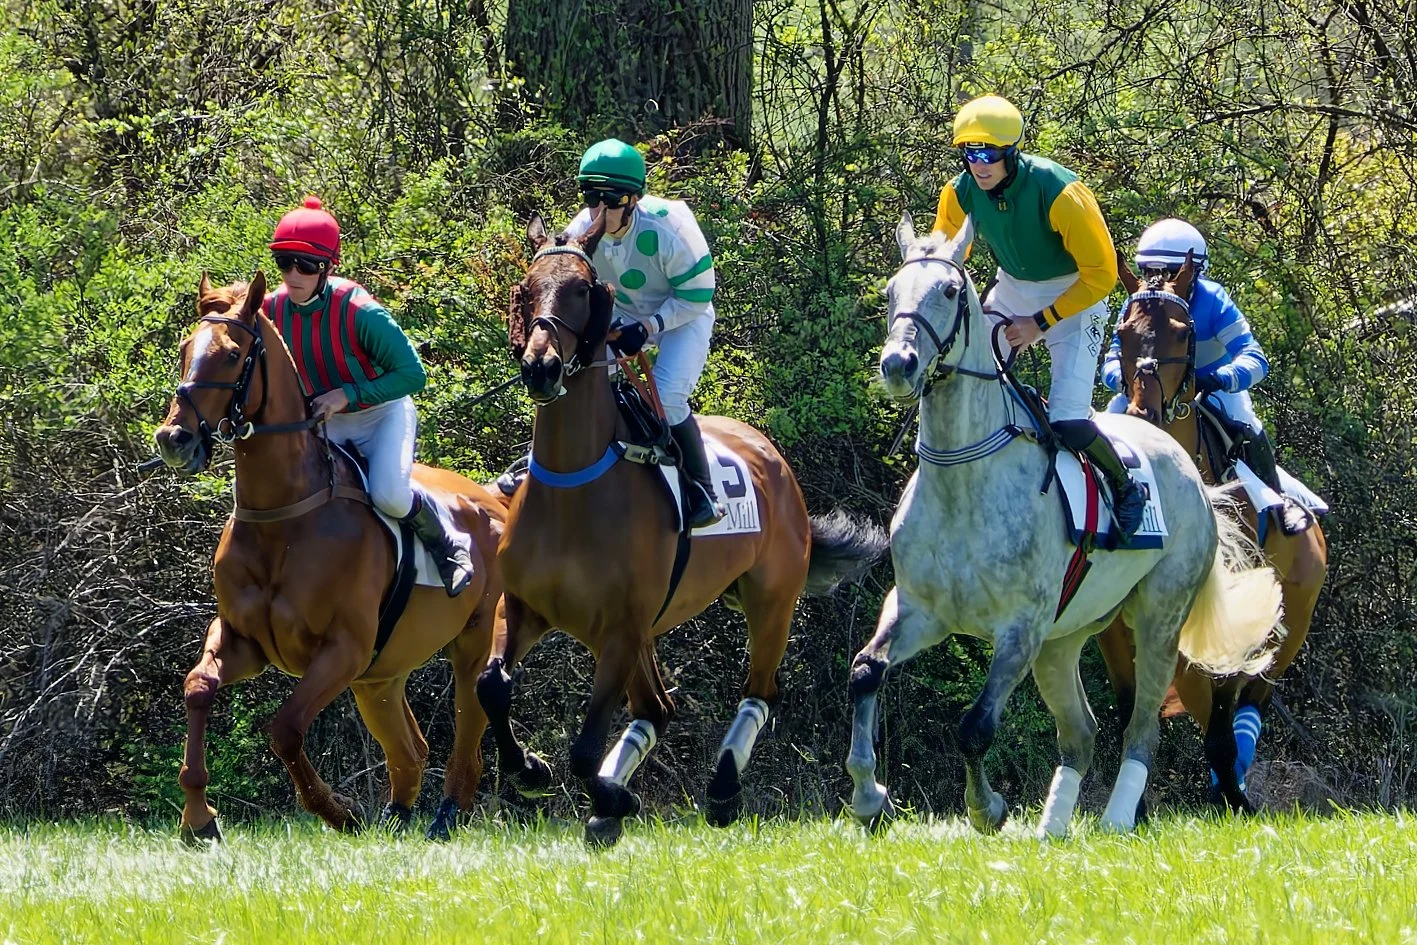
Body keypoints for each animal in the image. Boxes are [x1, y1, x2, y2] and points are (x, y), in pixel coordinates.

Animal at [153, 272, 507, 843]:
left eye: (231, 355)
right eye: (186, 349)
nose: (174, 439)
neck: (283, 520)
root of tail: (496, 499)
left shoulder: (342, 650)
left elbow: (285, 728)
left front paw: (338, 811)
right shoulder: (244, 640)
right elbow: (198, 688)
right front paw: (199, 819)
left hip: (470, 645)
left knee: (465, 743)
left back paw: (443, 818)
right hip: (380, 675)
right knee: (410, 750)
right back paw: (396, 819)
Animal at [476, 209, 887, 846]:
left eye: (582, 291)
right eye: (525, 288)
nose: (541, 367)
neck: (574, 488)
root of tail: (773, 457)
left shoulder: (620, 630)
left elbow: (583, 748)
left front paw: (611, 794)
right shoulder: (526, 607)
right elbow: (492, 687)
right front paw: (530, 771)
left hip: (770, 601)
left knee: (758, 693)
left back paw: (719, 789)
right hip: (648, 629)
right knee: (656, 710)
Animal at [845, 213, 1285, 839]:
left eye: (950, 292)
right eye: (889, 293)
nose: (898, 364)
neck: (963, 479)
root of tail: (1191, 473)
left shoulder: (1019, 628)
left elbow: (974, 727)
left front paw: (986, 808)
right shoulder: (920, 611)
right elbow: (866, 672)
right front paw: (868, 797)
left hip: (1155, 619)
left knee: (1141, 727)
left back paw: (1117, 820)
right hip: (1067, 637)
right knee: (1081, 733)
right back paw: (1053, 828)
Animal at [1095, 253, 1328, 810]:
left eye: (1183, 334)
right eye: (1123, 332)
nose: (1144, 411)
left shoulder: (1233, 609)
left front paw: (1235, 799)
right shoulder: (1115, 626)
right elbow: (1131, 708)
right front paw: (1134, 807)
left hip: (1291, 623)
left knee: (1249, 700)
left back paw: (1235, 779)